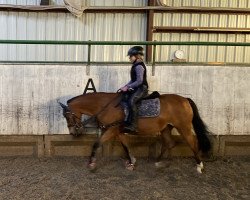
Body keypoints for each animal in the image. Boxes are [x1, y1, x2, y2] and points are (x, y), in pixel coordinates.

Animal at [59, 92, 212, 173]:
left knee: (192, 143)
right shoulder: (118, 131)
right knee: (169, 143)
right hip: (166, 128)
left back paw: (199, 166)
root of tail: (185, 100)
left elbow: (97, 144)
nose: (73, 132)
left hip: (183, 127)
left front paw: (91, 164)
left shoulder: (112, 129)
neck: (105, 105)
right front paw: (131, 162)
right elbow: (126, 146)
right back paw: (158, 161)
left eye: (67, 115)